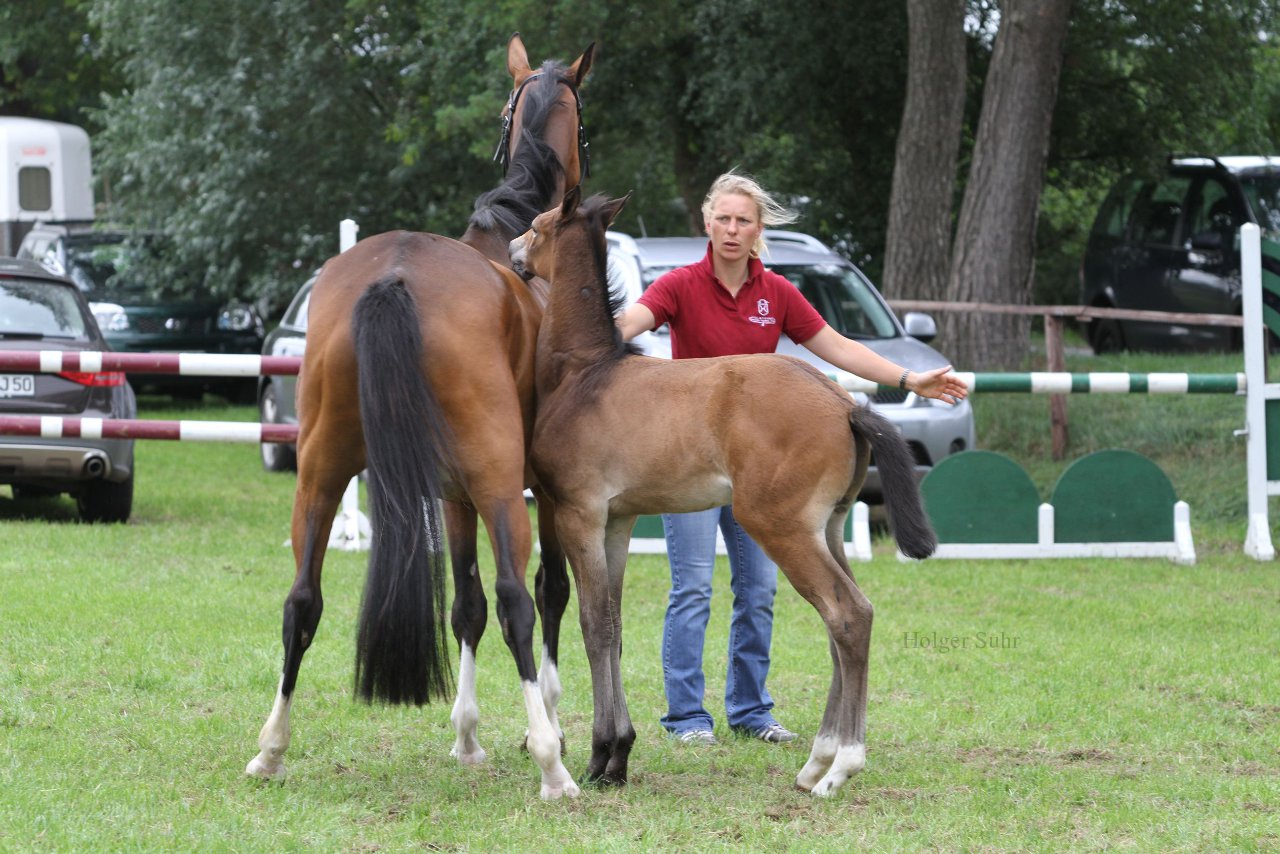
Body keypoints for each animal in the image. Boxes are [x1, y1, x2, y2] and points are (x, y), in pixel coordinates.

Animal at [243, 33, 588, 804]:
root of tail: (394, 274)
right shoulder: (536, 491)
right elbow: (546, 593)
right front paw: (541, 726)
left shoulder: (450, 497)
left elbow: (464, 607)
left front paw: (466, 735)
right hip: (498, 484)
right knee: (518, 600)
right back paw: (553, 768)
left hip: (321, 473)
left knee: (301, 600)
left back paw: (272, 749)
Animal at [512, 190, 942, 798]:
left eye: (537, 226)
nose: (513, 251)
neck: (584, 374)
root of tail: (844, 403)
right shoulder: (617, 522)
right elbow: (615, 627)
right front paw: (619, 755)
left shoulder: (580, 515)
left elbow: (593, 627)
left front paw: (600, 759)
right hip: (829, 528)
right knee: (845, 620)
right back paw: (817, 762)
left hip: (779, 526)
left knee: (847, 615)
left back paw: (840, 765)